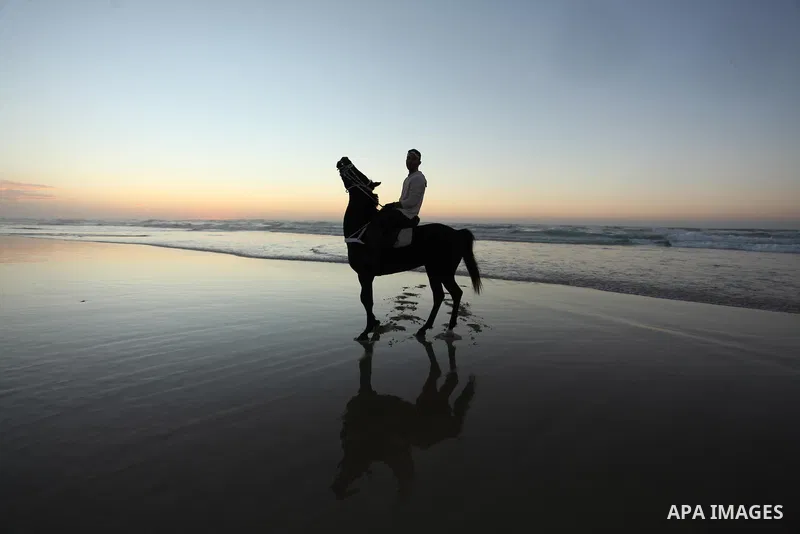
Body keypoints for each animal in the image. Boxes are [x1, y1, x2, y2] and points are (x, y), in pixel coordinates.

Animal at [336, 156, 483, 340]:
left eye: (361, 176)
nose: (344, 159)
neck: (363, 229)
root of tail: (456, 233)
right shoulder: (363, 276)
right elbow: (366, 300)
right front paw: (375, 323)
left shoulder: (366, 275)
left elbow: (366, 300)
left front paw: (367, 330)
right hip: (434, 270)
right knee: (440, 296)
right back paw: (425, 328)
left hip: (443, 271)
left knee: (454, 294)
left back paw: (447, 328)